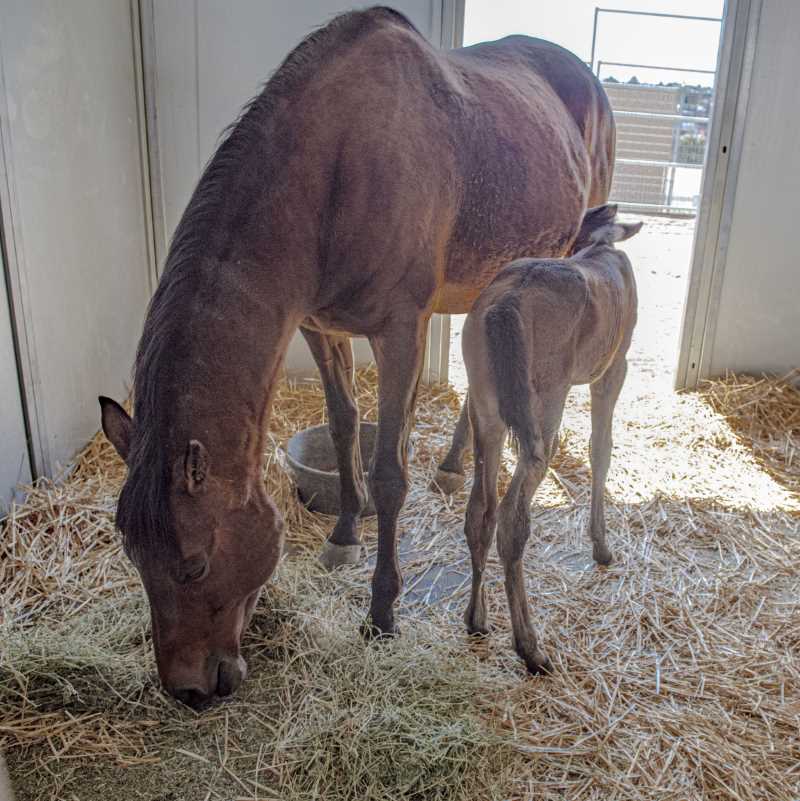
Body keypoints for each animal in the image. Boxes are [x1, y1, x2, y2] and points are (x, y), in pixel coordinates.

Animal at [460, 206, 640, 676]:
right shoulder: (614, 366)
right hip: (544, 403)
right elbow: (601, 447)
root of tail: (504, 305)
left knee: (480, 510)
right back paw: (530, 647)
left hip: (485, 405)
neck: (600, 245)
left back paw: (477, 618)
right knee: (512, 519)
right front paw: (602, 546)